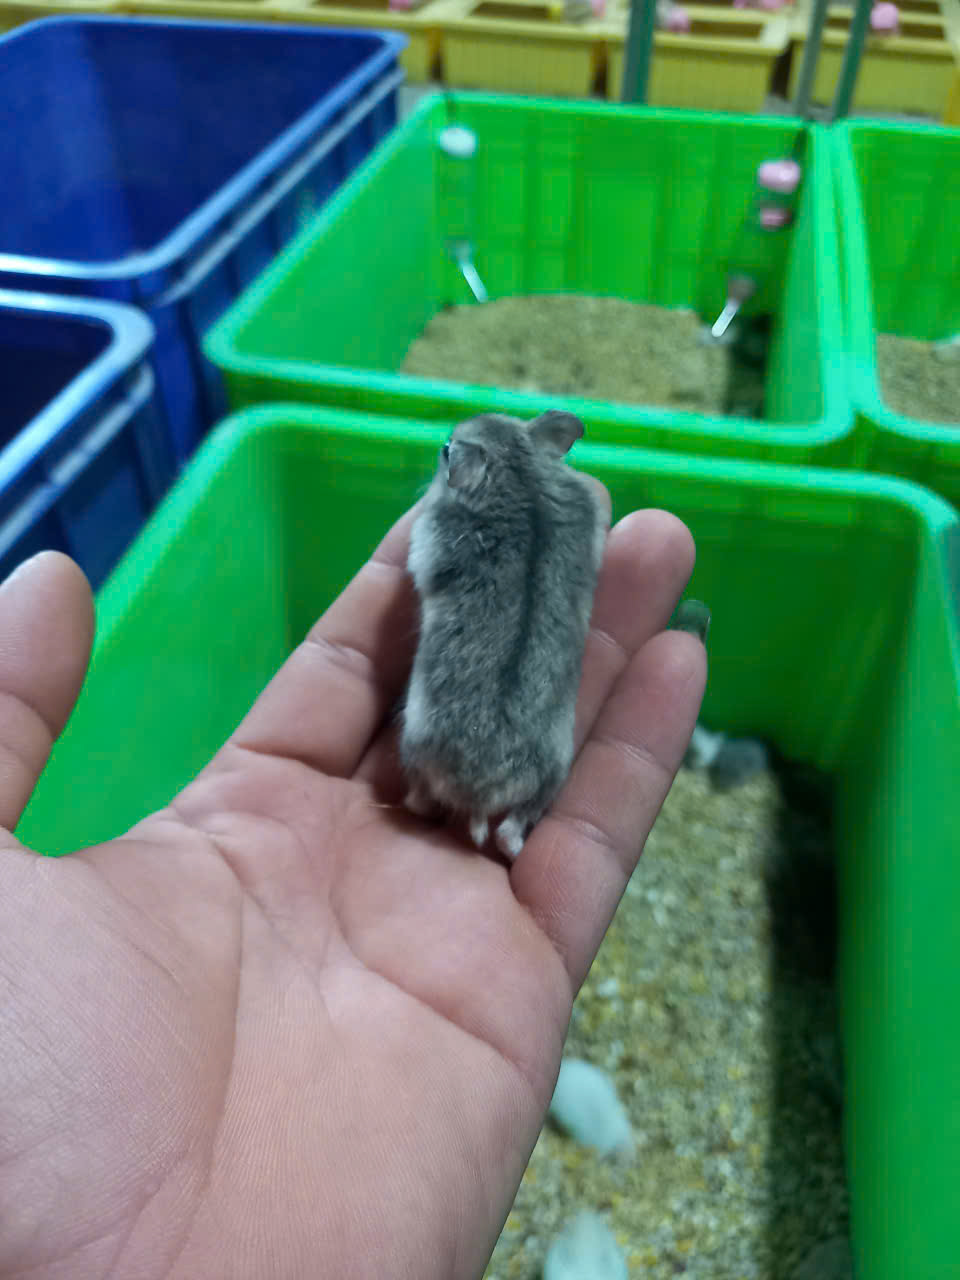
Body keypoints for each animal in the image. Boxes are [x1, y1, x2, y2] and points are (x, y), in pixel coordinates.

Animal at [399, 410, 607, 861]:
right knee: (512, 829)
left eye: (446, 448)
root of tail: (483, 795)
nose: (444, 442)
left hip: (413, 741)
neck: (518, 473)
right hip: (554, 770)